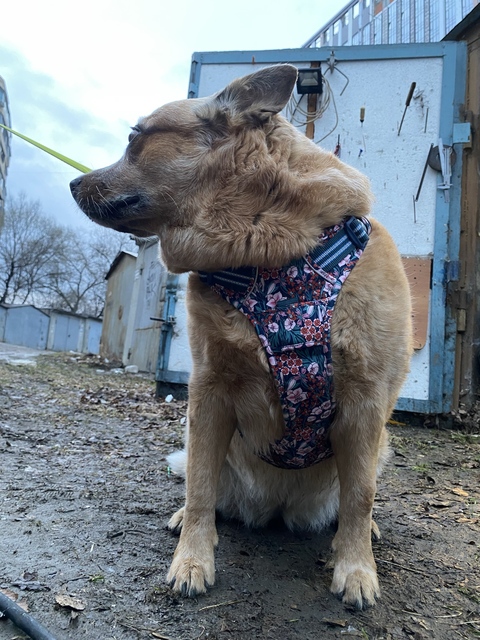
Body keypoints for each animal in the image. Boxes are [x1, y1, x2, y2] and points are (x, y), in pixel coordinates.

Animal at [70, 64, 413, 609]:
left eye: (133, 137)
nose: (72, 181)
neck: (265, 254)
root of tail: (277, 506)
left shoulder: (365, 402)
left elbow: (359, 498)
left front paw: (357, 567)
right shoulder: (209, 392)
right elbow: (199, 489)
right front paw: (192, 559)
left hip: (377, 444)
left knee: (353, 498)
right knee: (203, 486)